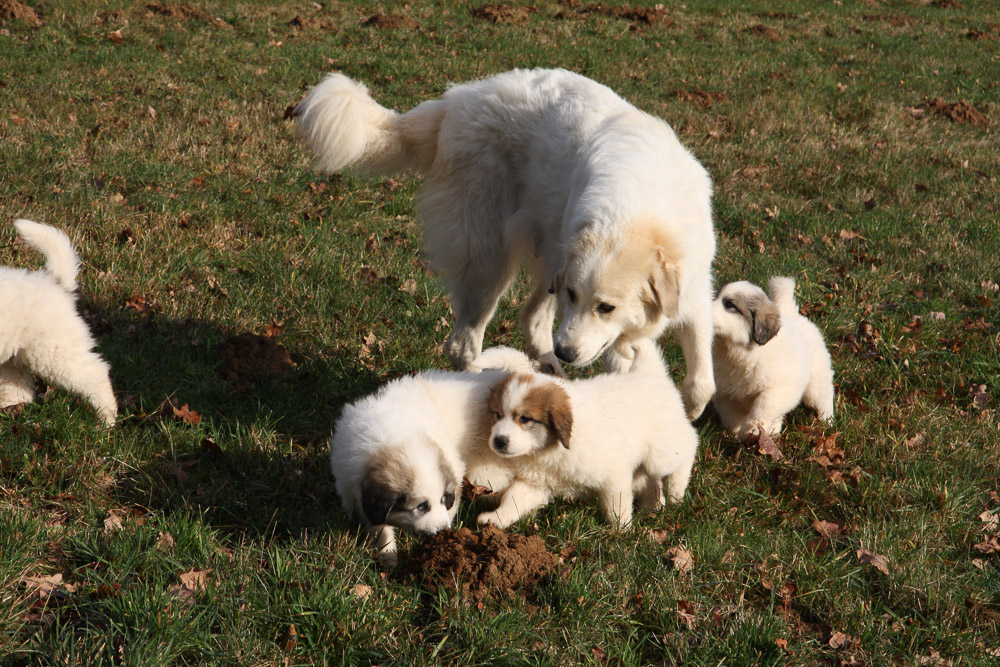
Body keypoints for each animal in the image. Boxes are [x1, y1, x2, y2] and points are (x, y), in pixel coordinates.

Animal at [0, 220, 118, 428]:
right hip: (17, 353)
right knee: (19, 387)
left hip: (54, 352)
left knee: (95, 374)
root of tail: (53, 281)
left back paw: (106, 419)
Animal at [292, 66, 716, 418]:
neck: (643, 216)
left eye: (606, 307)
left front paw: (691, 412)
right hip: (490, 263)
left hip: (548, 254)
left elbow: (702, 379)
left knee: (530, 319)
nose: (566, 352)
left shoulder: (694, 292)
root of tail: (455, 101)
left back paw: (549, 369)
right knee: (462, 345)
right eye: (576, 297)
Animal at [328, 348, 536, 568]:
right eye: (421, 507)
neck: (391, 438)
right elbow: (378, 525)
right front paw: (388, 554)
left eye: (442, 499)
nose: (443, 530)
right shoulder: (353, 488)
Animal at [474, 340, 696, 532]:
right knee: (650, 480)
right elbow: (513, 499)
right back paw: (652, 506)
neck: (551, 449)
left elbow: (617, 505)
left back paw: (676, 491)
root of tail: (649, 374)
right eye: (497, 415)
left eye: (525, 419)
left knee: (690, 445)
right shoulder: (536, 482)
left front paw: (621, 531)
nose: (499, 441)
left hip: (661, 453)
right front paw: (496, 518)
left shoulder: (614, 474)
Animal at [712, 278, 836, 444]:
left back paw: (826, 421)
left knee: (824, 396)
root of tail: (790, 314)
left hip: (816, 380)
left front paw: (750, 430)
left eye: (730, 305)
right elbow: (732, 416)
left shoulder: (778, 388)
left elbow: (762, 406)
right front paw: (735, 434)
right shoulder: (726, 395)